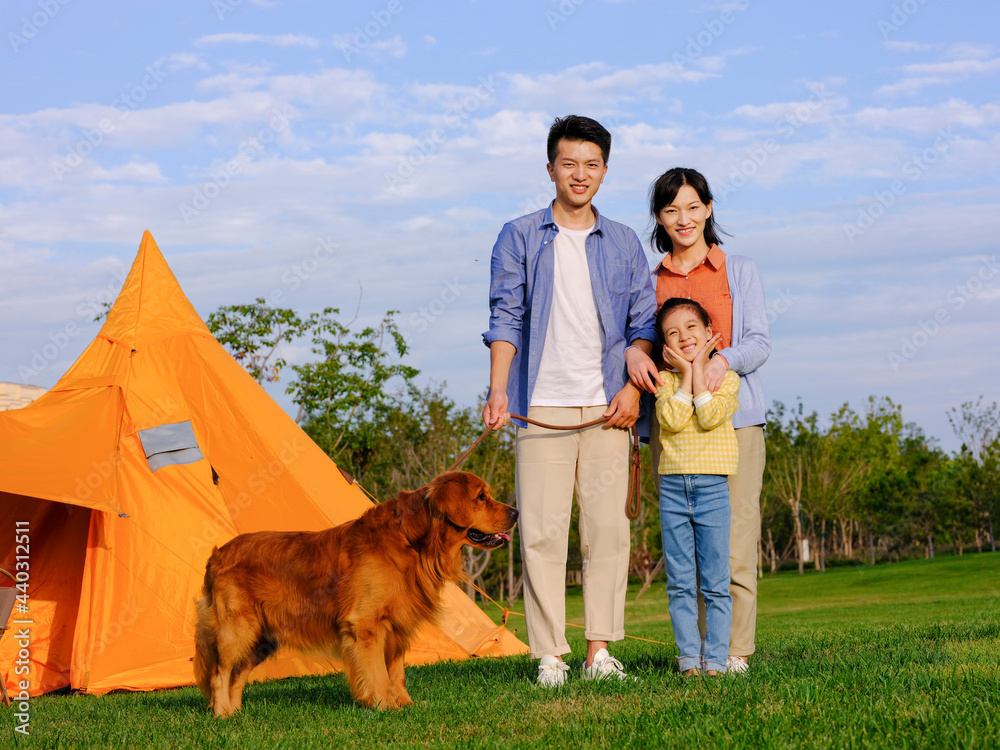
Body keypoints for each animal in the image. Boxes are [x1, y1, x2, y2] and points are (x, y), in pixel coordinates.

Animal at [193, 472, 516, 720]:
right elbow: (378, 673)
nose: (515, 513)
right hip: (236, 630)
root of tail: (217, 554)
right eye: (481, 497)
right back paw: (222, 715)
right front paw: (384, 707)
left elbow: (396, 673)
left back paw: (236, 713)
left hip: (261, 638)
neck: (413, 542)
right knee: (220, 673)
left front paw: (405, 706)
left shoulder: (396, 627)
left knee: (237, 675)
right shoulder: (366, 626)